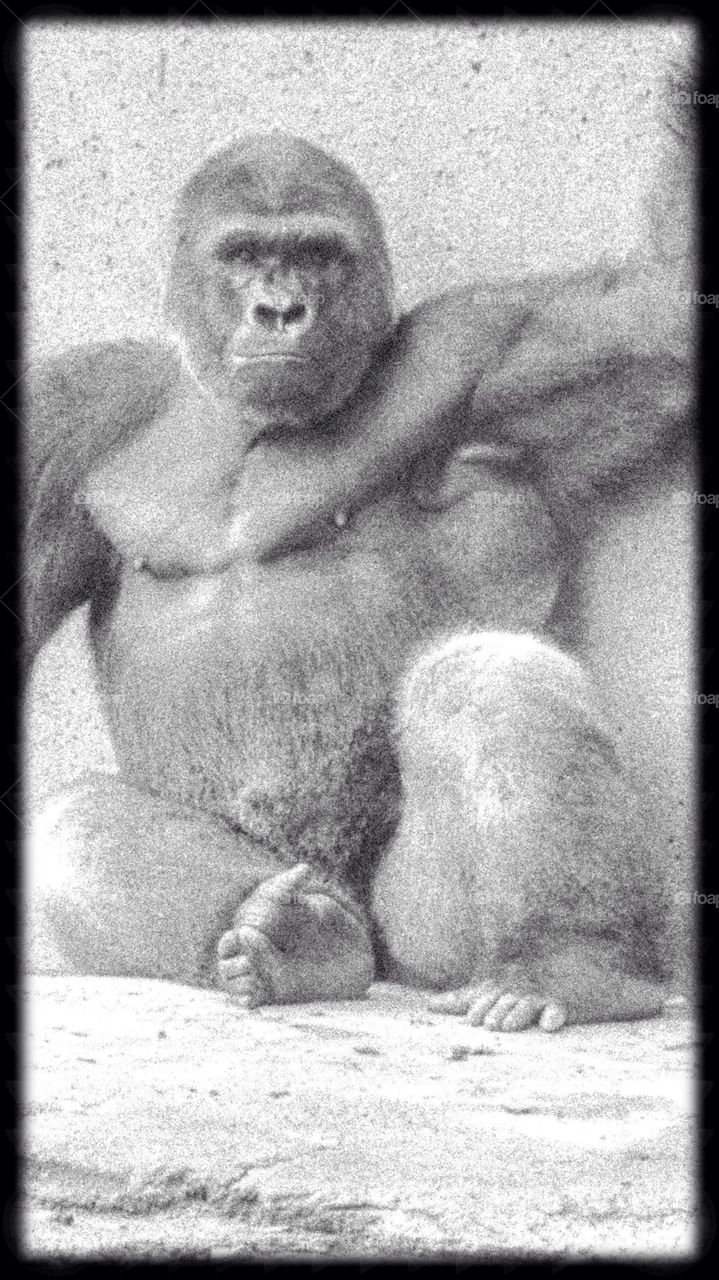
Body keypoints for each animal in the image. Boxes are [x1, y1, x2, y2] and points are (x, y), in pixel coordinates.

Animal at [24, 132, 693, 1030]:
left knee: (481, 674)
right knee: (70, 821)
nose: (279, 310)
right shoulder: (71, 411)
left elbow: (666, 298)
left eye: (316, 254)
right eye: (243, 255)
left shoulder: (484, 351)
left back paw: (570, 965)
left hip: (424, 944)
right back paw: (300, 945)